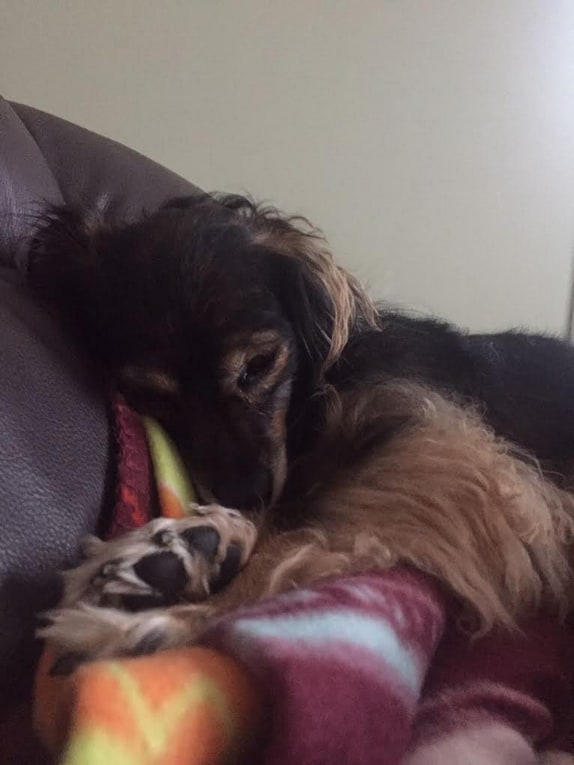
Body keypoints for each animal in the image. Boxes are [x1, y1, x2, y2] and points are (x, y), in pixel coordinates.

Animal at [28, 192, 574, 660]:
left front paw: (180, 610)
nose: (246, 493)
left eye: (258, 365)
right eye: (148, 396)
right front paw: (205, 546)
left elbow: (296, 537)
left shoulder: (459, 459)